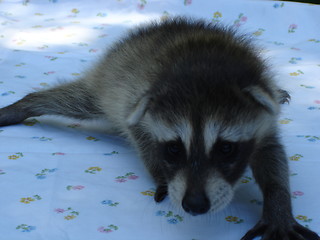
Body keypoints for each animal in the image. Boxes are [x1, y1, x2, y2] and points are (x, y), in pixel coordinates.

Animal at [0, 17, 318, 240]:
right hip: (109, 82)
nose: (194, 204)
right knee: (73, 99)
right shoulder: (135, 100)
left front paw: (278, 203)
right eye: (174, 148)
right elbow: (140, 137)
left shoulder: (264, 117)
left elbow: (273, 156)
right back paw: (28, 103)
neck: (204, 68)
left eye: (226, 148)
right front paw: (160, 174)